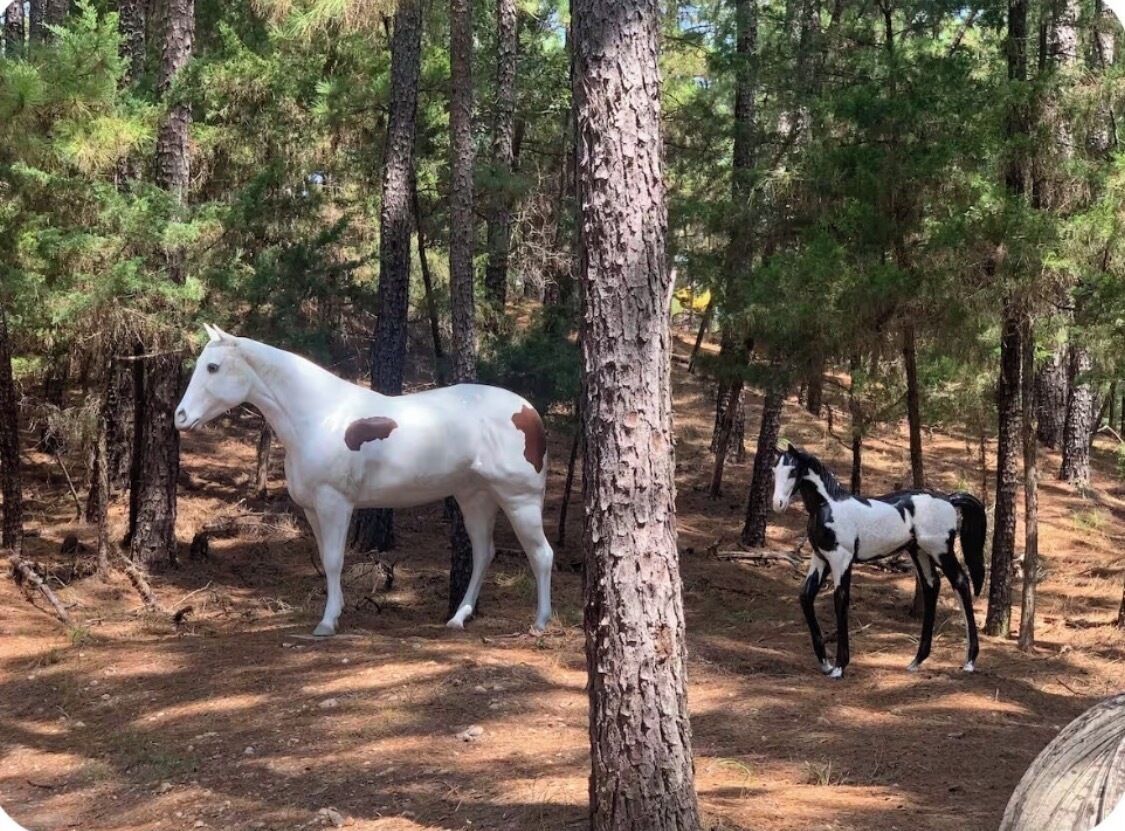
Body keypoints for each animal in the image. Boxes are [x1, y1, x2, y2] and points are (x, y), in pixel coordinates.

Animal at [174, 325, 554, 637]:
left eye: (212, 367)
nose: (180, 416)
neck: (320, 417)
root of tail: (529, 412)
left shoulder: (335, 504)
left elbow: (333, 560)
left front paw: (327, 623)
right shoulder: (312, 509)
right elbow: (326, 560)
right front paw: (335, 612)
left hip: (519, 499)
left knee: (541, 554)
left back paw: (539, 623)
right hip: (475, 497)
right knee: (483, 553)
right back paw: (459, 618)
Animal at [771, 443, 986, 679]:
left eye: (793, 471)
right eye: (774, 471)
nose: (778, 504)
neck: (829, 507)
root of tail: (948, 498)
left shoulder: (841, 559)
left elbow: (840, 600)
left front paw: (839, 667)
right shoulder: (821, 559)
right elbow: (805, 597)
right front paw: (825, 664)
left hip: (941, 551)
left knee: (961, 582)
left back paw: (969, 661)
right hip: (919, 551)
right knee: (931, 586)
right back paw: (916, 661)